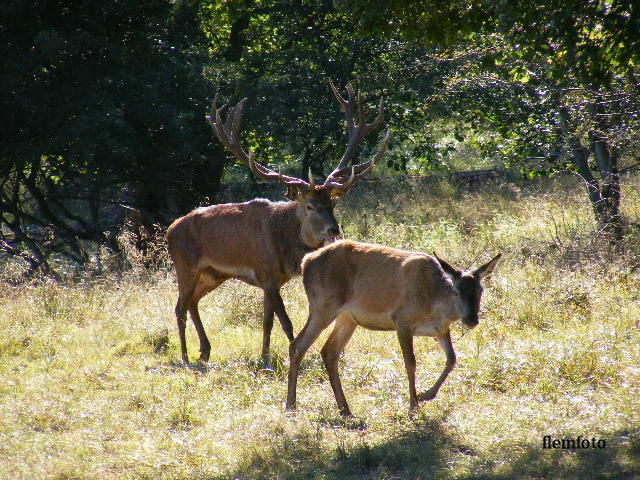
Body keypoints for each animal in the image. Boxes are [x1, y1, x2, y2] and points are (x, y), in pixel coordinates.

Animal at [166, 80, 390, 362]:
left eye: (333, 204)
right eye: (309, 205)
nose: (334, 229)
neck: (285, 247)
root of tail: (169, 230)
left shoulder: (271, 280)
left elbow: (267, 322)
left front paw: (264, 357)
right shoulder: (266, 274)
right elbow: (286, 322)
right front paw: (286, 356)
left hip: (213, 273)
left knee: (193, 302)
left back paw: (205, 350)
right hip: (184, 265)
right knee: (179, 306)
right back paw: (185, 356)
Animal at [288, 242, 502, 414]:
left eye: (480, 290)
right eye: (456, 291)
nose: (471, 320)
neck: (435, 305)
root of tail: (305, 261)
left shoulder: (440, 329)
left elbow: (452, 359)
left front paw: (426, 395)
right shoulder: (402, 320)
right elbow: (411, 363)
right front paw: (413, 406)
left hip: (348, 317)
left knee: (329, 351)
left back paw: (344, 409)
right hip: (322, 305)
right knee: (297, 345)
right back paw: (291, 405)